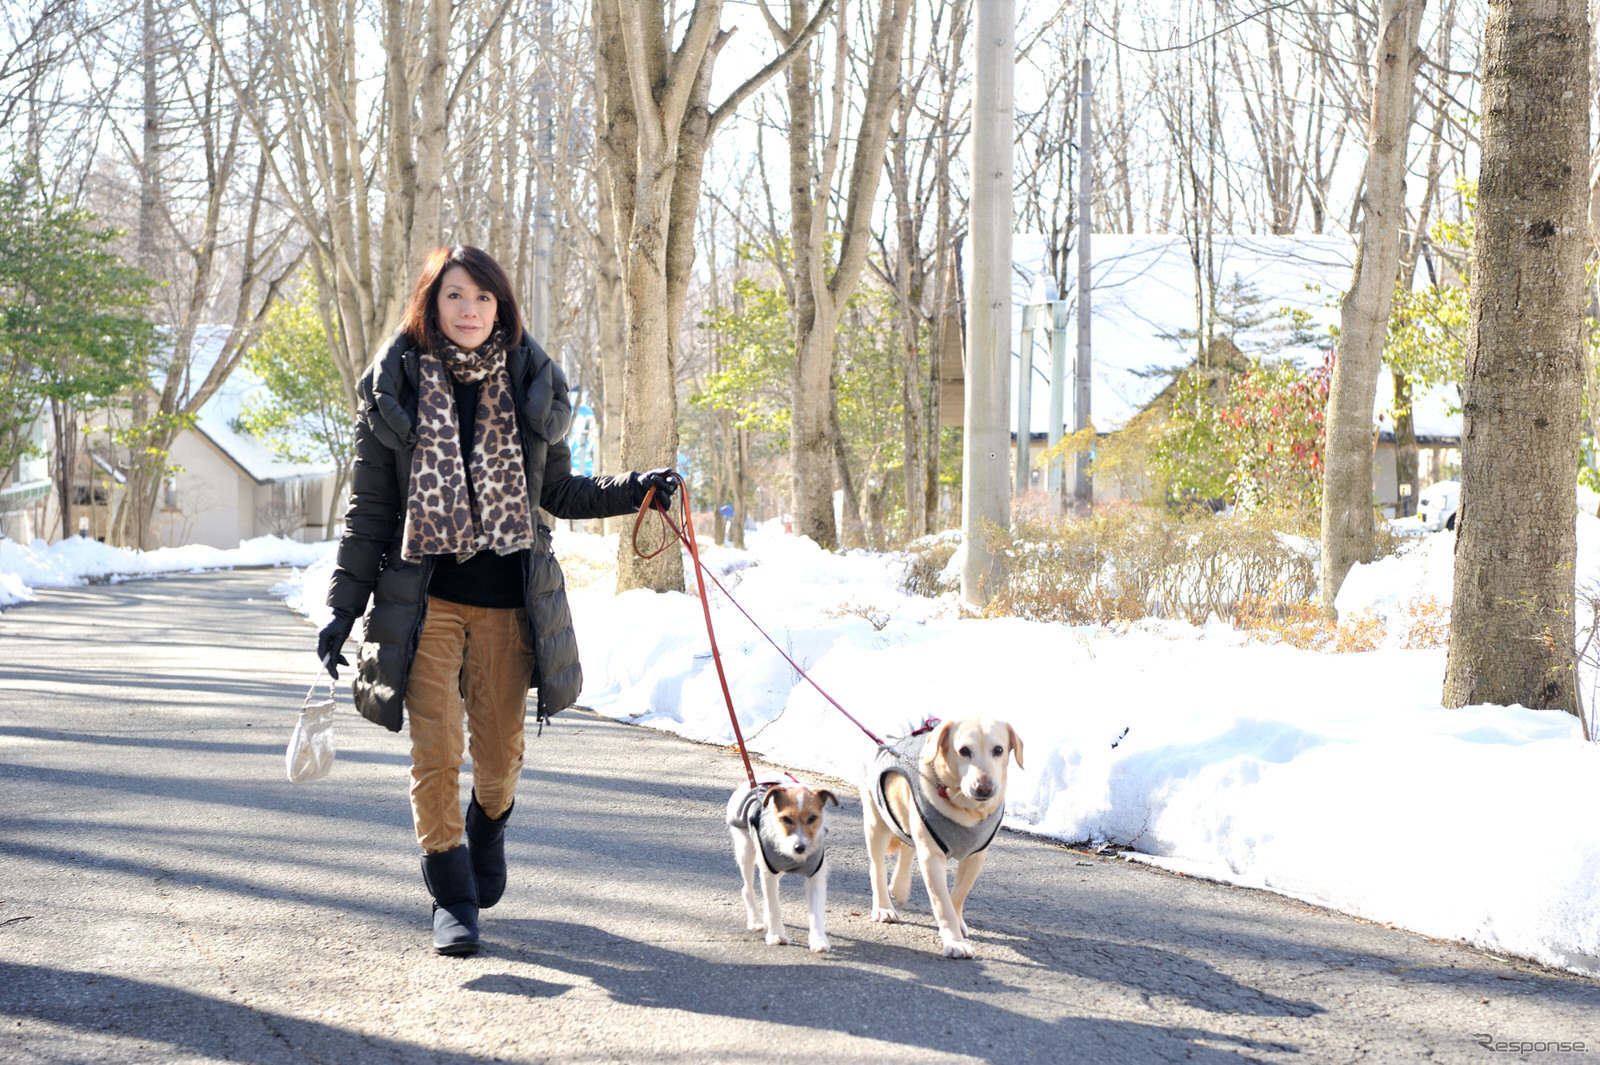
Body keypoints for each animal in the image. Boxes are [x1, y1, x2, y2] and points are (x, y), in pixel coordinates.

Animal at [729, 777, 844, 946]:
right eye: (786, 819)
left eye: (812, 818)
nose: (799, 848)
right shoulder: (768, 871)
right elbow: (774, 906)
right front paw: (776, 935)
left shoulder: (815, 875)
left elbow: (816, 911)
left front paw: (818, 940)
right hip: (746, 852)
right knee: (748, 888)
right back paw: (755, 921)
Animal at [864, 716, 1024, 959]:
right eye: (964, 750)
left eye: (998, 750)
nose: (984, 788)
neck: (968, 809)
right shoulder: (932, 856)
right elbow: (943, 902)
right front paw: (955, 942)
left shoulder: (976, 856)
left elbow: (957, 896)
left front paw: (957, 924)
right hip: (878, 819)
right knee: (877, 866)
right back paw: (884, 907)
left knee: (908, 845)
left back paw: (900, 888)